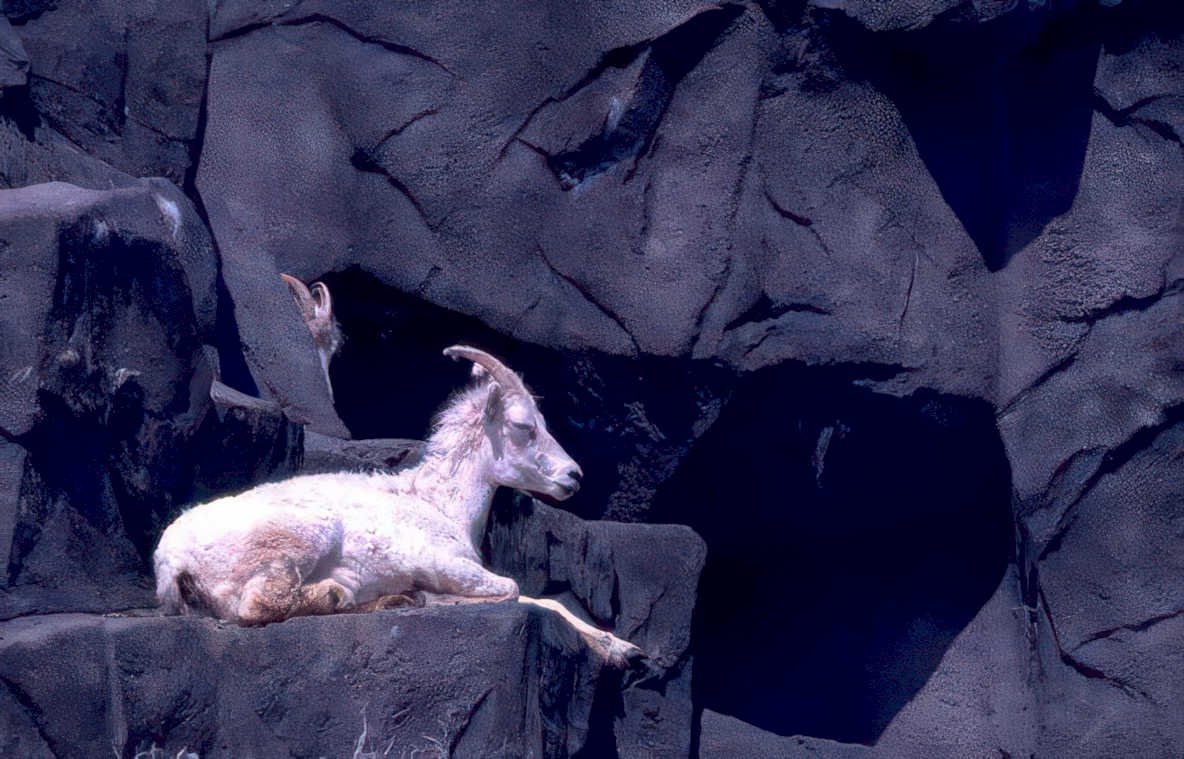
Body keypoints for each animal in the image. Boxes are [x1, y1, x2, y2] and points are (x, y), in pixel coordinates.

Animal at [154, 346, 641, 666]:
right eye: (524, 427)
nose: (573, 476)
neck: (440, 506)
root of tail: (173, 556)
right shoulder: (443, 563)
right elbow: (513, 590)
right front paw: (428, 596)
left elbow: (546, 602)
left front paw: (622, 649)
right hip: (301, 538)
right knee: (257, 606)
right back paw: (351, 594)